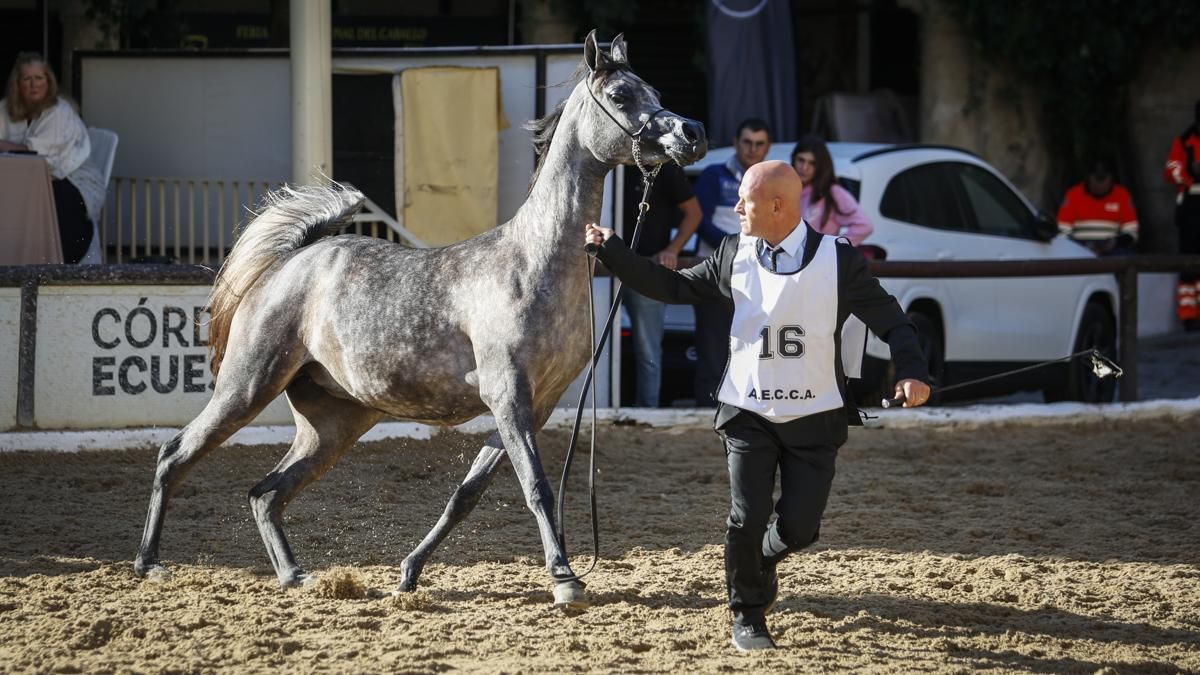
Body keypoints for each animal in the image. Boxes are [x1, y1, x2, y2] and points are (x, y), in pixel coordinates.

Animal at [132, 31, 707, 609]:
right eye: (620, 96)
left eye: (655, 92)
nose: (693, 133)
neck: (532, 263)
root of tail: (291, 261)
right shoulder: (508, 396)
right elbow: (537, 488)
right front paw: (565, 578)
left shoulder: (533, 406)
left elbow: (467, 494)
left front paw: (408, 573)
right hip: (246, 387)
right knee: (176, 456)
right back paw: (150, 565)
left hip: (333, 425)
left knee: (265, 494)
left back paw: (297, 576)